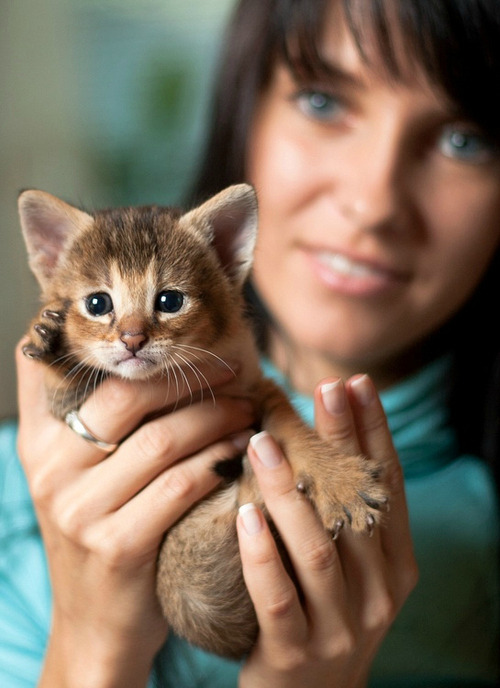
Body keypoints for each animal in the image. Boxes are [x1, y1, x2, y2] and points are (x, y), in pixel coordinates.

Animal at [19, 185, 386, 660]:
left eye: (169, 301)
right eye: (97, 303)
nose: (132, 339)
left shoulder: (253, 385)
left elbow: (286, 423)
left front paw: (339, 480)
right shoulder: (62, 407)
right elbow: (67, 388)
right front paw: (55, 352)